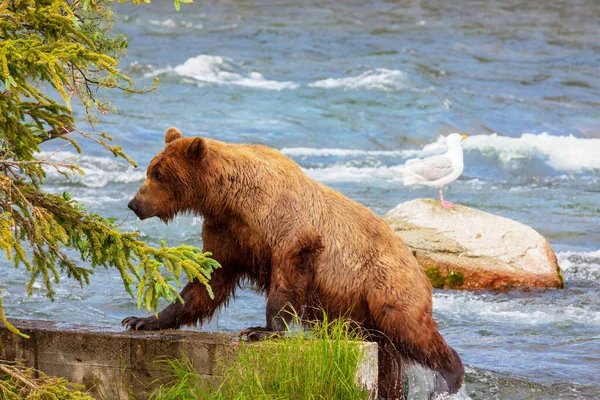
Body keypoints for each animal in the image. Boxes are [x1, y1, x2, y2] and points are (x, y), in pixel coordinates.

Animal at [124, 127, 466, 396]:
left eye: (158, 174)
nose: (134, 203)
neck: (228, 199)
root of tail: (419, 267)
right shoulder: (226, 234)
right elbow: (206, 284)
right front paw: (143, 319)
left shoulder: (286, 228)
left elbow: (286, 278)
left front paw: (261, 330)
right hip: (361, 314)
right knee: (385, 359)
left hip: (385, 286)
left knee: (410, 328)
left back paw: (449, 378)